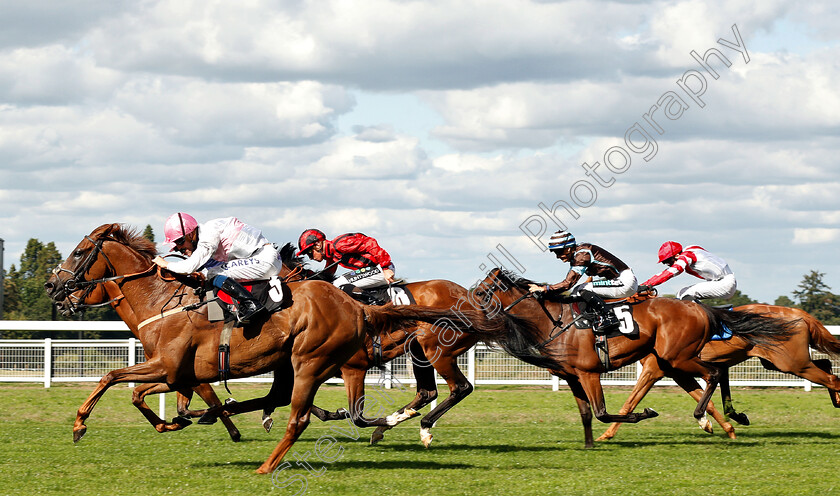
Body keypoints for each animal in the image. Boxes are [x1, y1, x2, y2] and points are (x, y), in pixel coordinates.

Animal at [44, 225, 498, 472]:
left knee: (454, 388)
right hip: (408, 354)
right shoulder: (176, 373)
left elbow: (114, 377)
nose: (53, 286)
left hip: (425, 351)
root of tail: (470, 298)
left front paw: (81, 424)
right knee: (425, 391)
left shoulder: (171, 368)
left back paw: (414, 427)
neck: (163, 302)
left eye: (80, 252)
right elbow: (138, 391)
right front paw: (178, 420)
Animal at [470, 270, 796, 448]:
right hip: (672, 361)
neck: (556, 321)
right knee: (714, 375)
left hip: (678, 356)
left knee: (714, 373)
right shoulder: (573, 375)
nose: (467, 306)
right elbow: (586, 413)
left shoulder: (589, 372)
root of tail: (701, 309)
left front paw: (645, 414)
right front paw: (589, 444)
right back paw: (728, 420)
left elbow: (602, 412)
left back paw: (705, 416)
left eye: (483, 291)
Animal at [596, 304, 840, 440]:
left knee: (832, 379)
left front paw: (606, 435)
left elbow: (630, 401)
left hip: (791, 362)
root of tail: (799, 313)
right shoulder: (678, 372)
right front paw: (723, 428)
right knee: (827, 365)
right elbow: (709, 402)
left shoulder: (654, 369)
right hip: (778, 362)